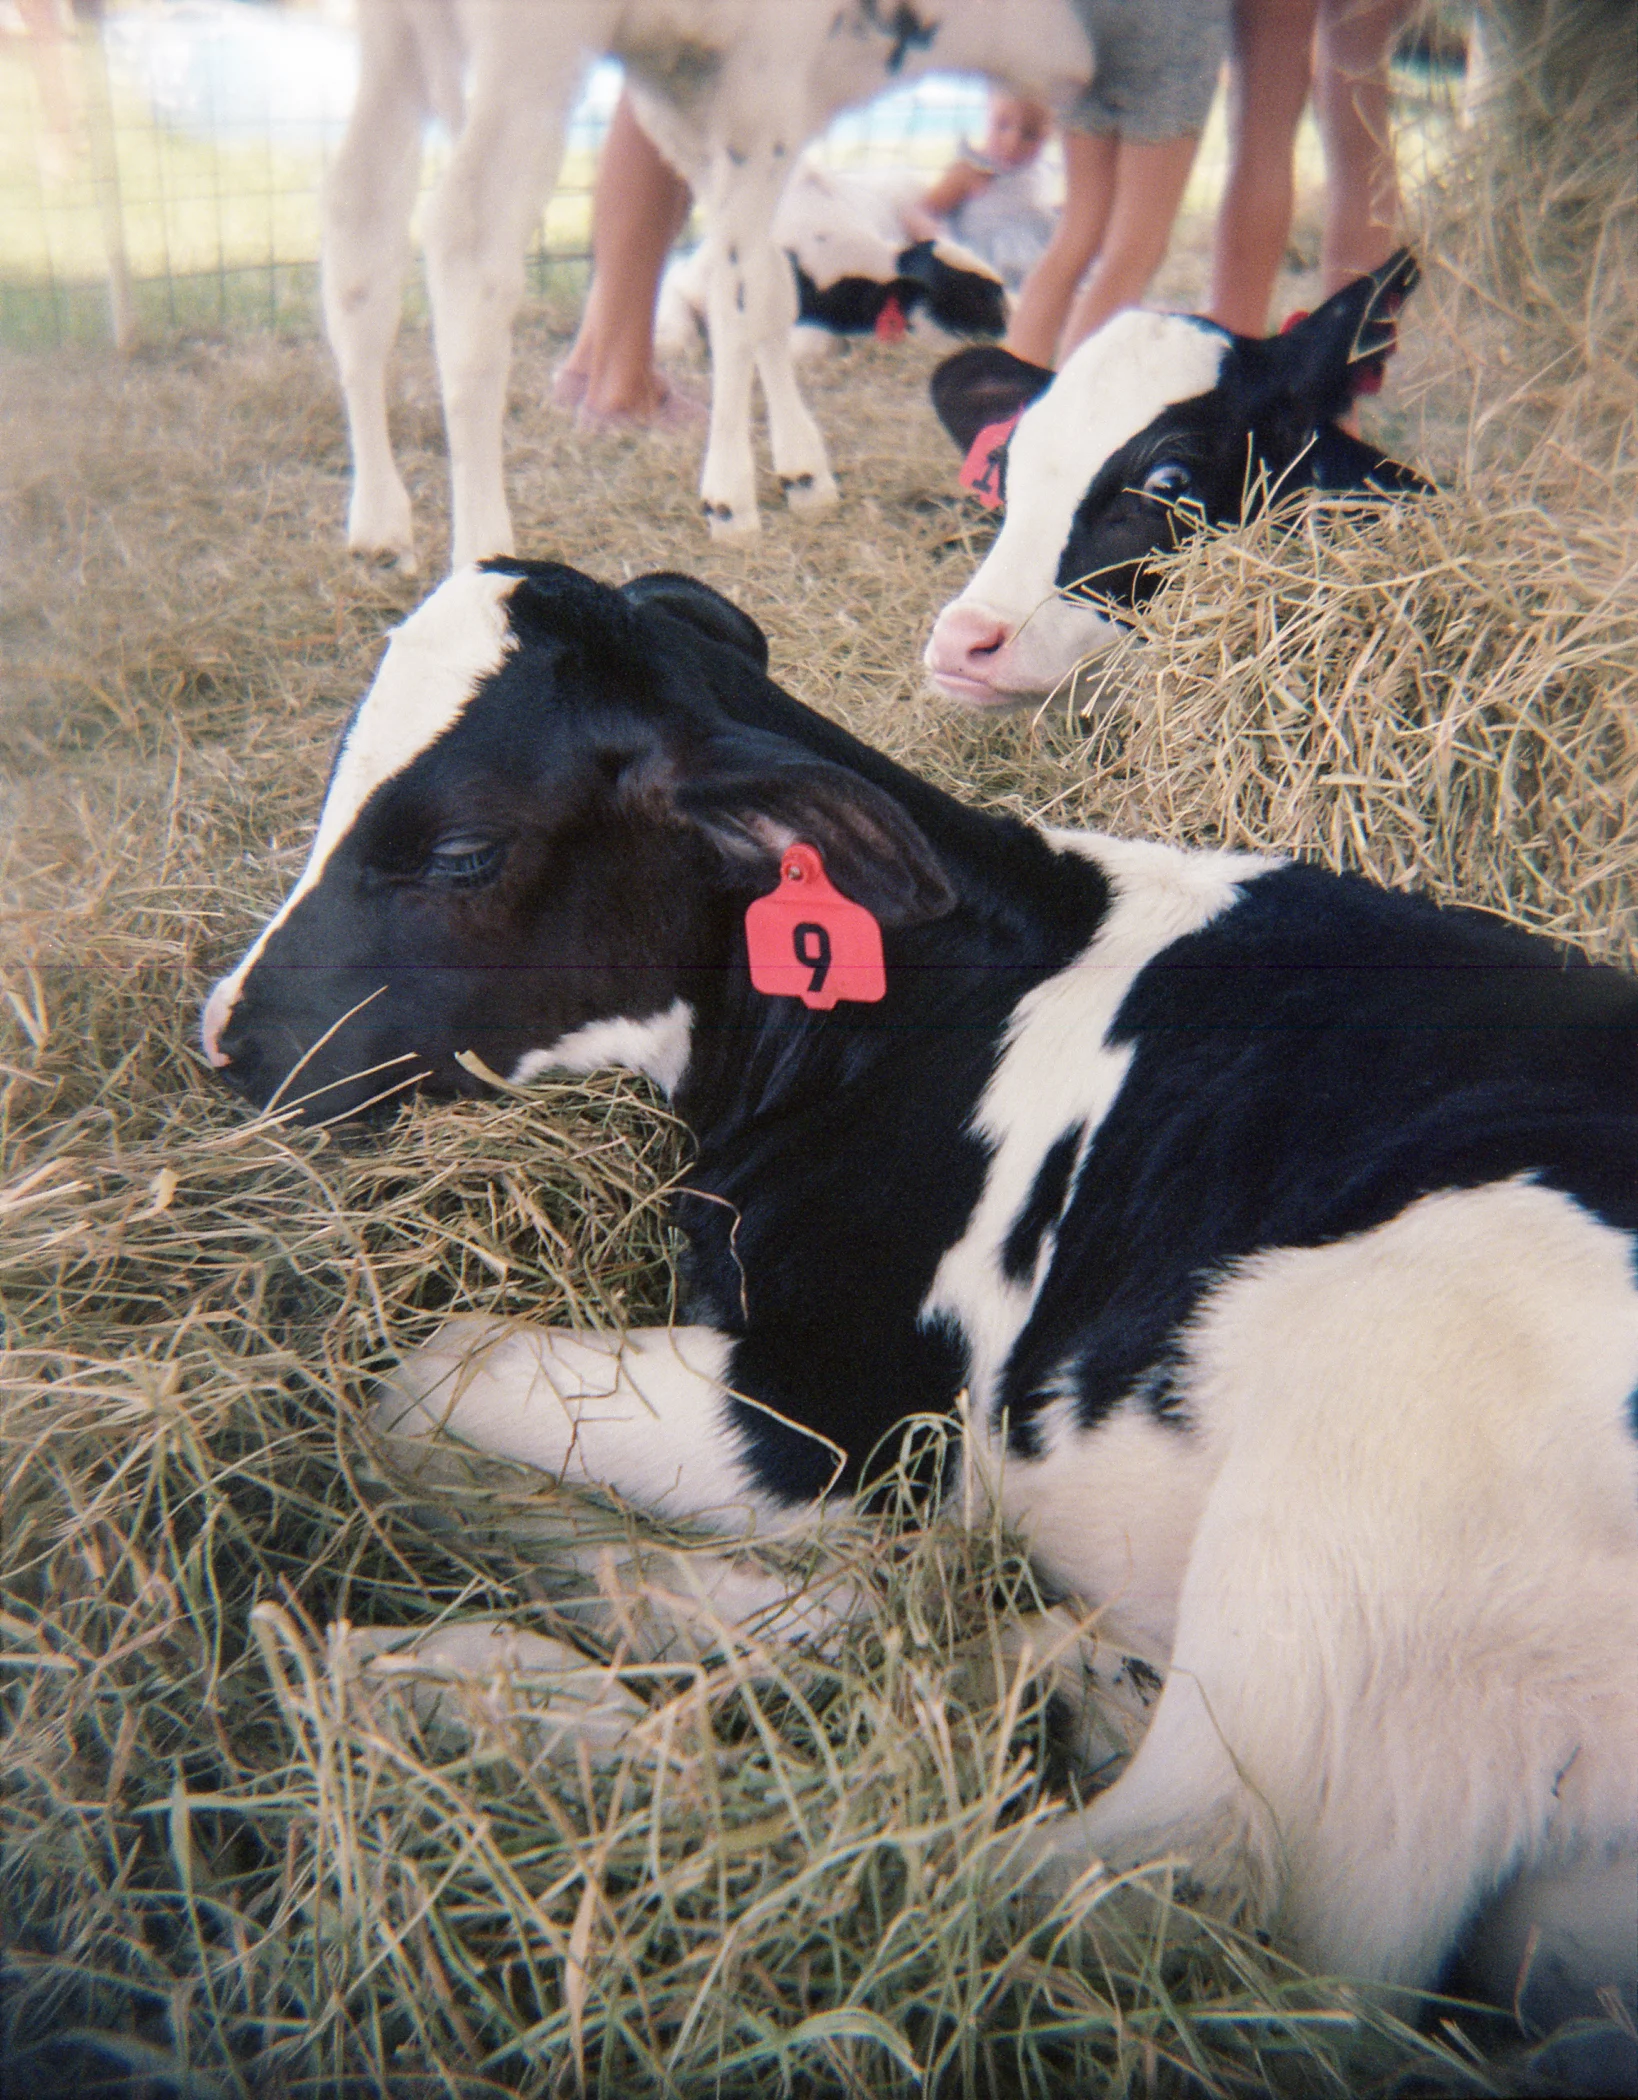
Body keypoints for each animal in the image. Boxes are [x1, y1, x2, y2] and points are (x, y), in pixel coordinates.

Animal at [200, 559, 1638, 2049]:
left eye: (461, 854)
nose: (224, 1038)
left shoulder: (845, 1411)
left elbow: (428, 1372)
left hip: (1375, 1470)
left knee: (1092, 1887)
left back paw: (453, 1687)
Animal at [323, 0, 1089, 570]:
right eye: (975, 296)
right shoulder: (761, 81)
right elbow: (740, 292)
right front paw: (731, 497)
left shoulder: (684, 91)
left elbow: (766, 285)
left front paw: (802, 471)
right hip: (534, 47)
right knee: (467, 237)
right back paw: (483, 554)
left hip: (393, 41)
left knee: (359, 227)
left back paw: (379, 529)